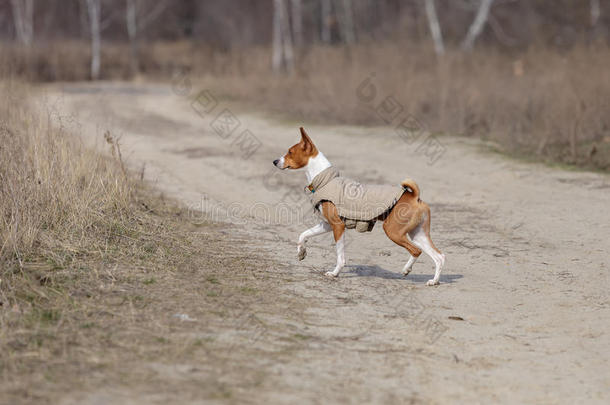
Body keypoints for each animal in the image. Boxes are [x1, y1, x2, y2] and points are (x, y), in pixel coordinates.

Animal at [270, 127, 442, 284]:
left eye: (290, 152)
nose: (275, 161)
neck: (325, 180)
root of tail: (414, 197)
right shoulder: (326, 224)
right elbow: (303, 235)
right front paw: (301, 252)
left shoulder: (338, 226)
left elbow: (340, 256)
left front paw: (335, 273)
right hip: (418, 234)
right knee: (439, 256)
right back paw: (434, 281)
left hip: (393, 231)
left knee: (416, 251)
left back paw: (406, 270)